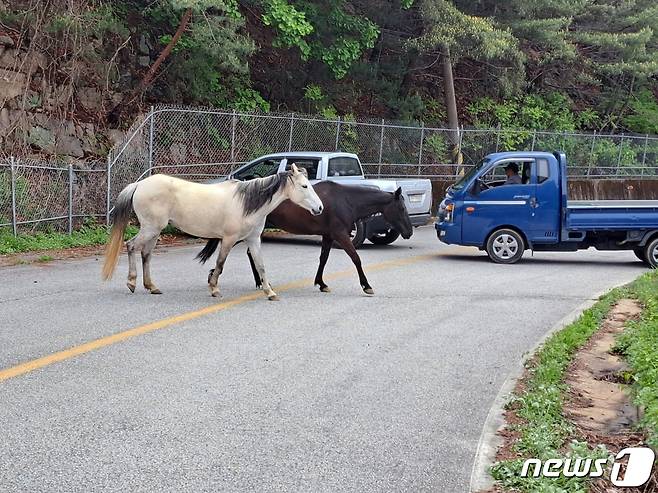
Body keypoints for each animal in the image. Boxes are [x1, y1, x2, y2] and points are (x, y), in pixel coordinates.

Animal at [102, 164, 322, 300]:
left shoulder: (253, 240)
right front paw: (214, 289)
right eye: (305, 186)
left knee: (146, 254)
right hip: (150, 228)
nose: (319, 208)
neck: (247, 203)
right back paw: (131, 283)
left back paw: (151, 287)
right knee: (131, 246)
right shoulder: (228, 240)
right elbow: (220, 264)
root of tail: (139, 184)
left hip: (154, 231)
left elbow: (261, 266)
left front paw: (269, 292)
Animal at [195, 182, 412, 294]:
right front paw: (366, 285)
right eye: (401, 208)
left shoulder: (328, 236)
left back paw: (259, 282)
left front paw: (321, 283)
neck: (346, 201)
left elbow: (323, 259)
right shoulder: (340, 235)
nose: (409, 232)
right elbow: (356, 258)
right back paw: (215, 275)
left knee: (249, 252)